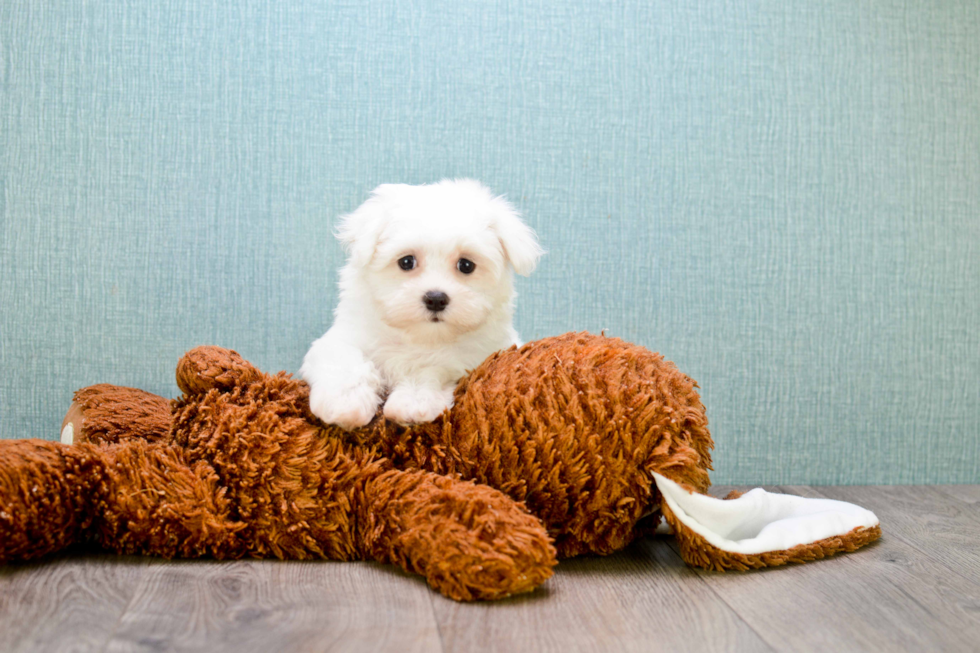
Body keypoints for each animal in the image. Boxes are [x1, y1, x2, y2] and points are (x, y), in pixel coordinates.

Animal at [298, 180, 544, 428]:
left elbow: (432, 368)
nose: (435, 298)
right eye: (406, 262)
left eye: (466, 265)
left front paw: (412, 404)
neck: (420, 336)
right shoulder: (346, 335)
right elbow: (343, 358)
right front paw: (344, 402)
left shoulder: (475, 355)